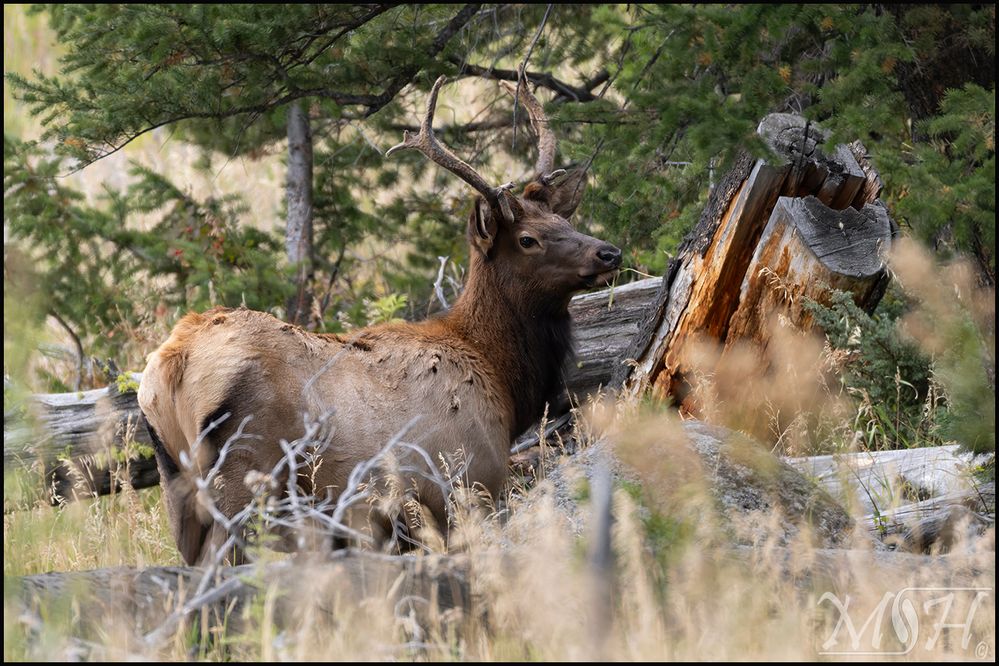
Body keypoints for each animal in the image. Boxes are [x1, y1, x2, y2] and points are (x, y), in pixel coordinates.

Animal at [137, 74, 622, 565]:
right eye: (528, 239)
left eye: (565, 219)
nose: (609, 252)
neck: (499, 374)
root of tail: (172, 363)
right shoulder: (466, 479)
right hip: (242, 476)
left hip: (178, 489)